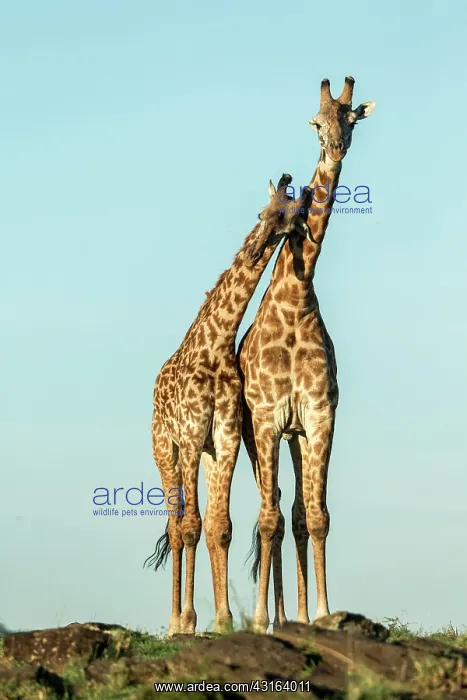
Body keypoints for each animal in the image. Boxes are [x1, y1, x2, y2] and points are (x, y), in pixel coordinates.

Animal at [144, 175, 314, 635]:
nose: (257, 245)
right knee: (174, 524)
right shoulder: (189, 433)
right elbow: (190, 525)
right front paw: (187, 620)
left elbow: (219, 526)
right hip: (164, 449)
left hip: (205, 454)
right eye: (262, 211)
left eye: (289, 215)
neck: (216, 344)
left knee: (200, 523)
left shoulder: (224, 437)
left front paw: (222, 620)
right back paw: (173, 620)